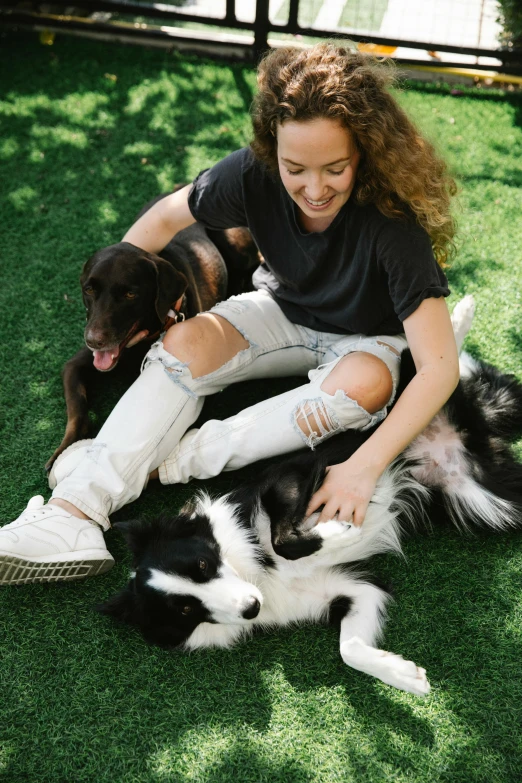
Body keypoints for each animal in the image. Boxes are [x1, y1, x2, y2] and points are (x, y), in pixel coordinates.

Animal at [47, 191, 260, 472]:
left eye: (130, 294)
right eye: (89, 289)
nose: (93, 341)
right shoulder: (74, 366)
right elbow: (77, 409)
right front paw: (63, 452)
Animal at [98, 298, 520, 696]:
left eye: (202, 564)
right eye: (185, 609)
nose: (251, 608)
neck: (256, 573)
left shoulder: (293, 475)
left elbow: (283, 539)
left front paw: (342, 530)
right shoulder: (350, 590)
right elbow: (350, 649)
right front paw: (405, 676)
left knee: (437, 368)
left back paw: (461, 314)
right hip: (487, 501)